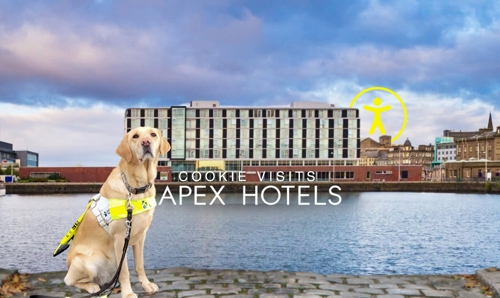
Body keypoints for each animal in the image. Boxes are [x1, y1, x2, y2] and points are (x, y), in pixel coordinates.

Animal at [63, 127, 170, 296]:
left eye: (153, 134)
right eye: (135, 136)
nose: (146, 142)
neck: (136, 188)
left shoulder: (141, 237)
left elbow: (140, 265)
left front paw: (146, 285)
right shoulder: (120, 239)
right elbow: (125, 271)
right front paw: (128, 293)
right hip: (89, 260)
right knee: (70, 280)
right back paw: (92, 286)